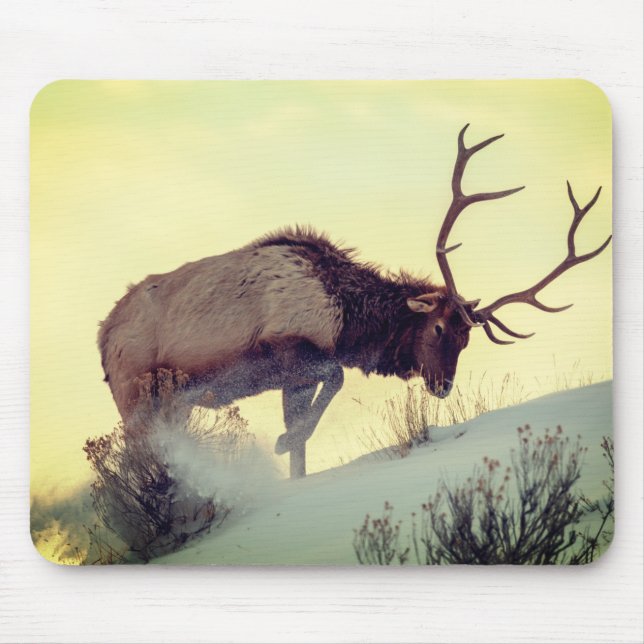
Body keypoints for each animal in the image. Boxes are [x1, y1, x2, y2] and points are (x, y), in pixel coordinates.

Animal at [98, 124, 611, 478]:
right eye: (439, 327)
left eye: (468, 340)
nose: (443, 386)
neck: (347, 320)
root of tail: (102, 337)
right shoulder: (287, 347)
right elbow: (336, 380)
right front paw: (281, 441)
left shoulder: (293, 378)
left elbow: (305, 441)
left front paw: (291, 457)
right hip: (135, 397)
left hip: (173, 404)